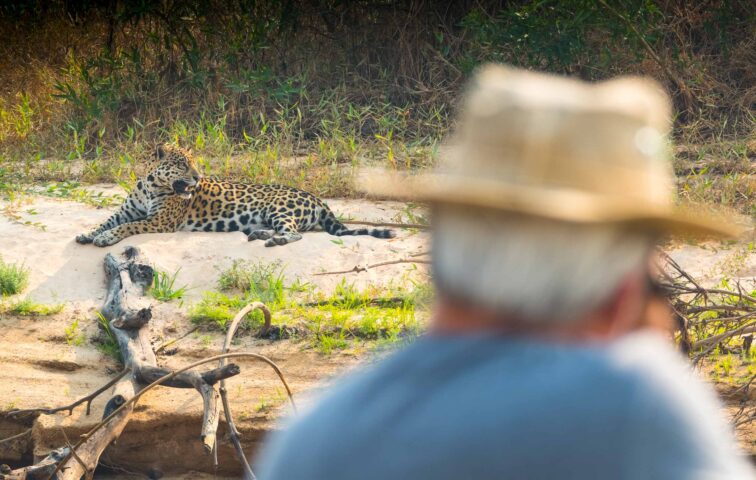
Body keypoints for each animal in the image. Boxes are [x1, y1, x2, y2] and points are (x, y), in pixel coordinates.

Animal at [75, 144, 395, 247]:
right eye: (183, 164)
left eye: (194, 163)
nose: (197, 177)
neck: (151, 185)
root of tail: (318, 199)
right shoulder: (126, 210)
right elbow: (107, 221)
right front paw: (88, 234)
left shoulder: (158, 222)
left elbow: (127, 227)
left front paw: (105, 238)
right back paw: (259, 235)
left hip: (279, 207)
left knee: (295, 233)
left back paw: (274, 240)